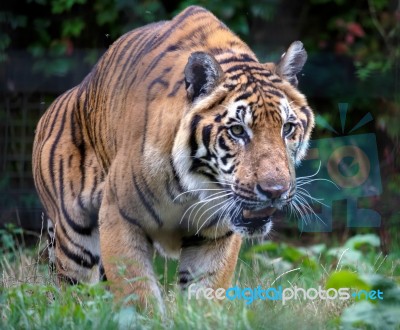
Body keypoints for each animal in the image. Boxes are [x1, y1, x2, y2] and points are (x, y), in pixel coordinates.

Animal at [32, 4, 312, 310]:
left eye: (287, 128)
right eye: (237, 130)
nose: (275, 191)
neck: (194, 186)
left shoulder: (216, 235)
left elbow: (205, 294)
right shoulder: (119, 217)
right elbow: (138, 293)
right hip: (74, 241)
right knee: (76, 297)